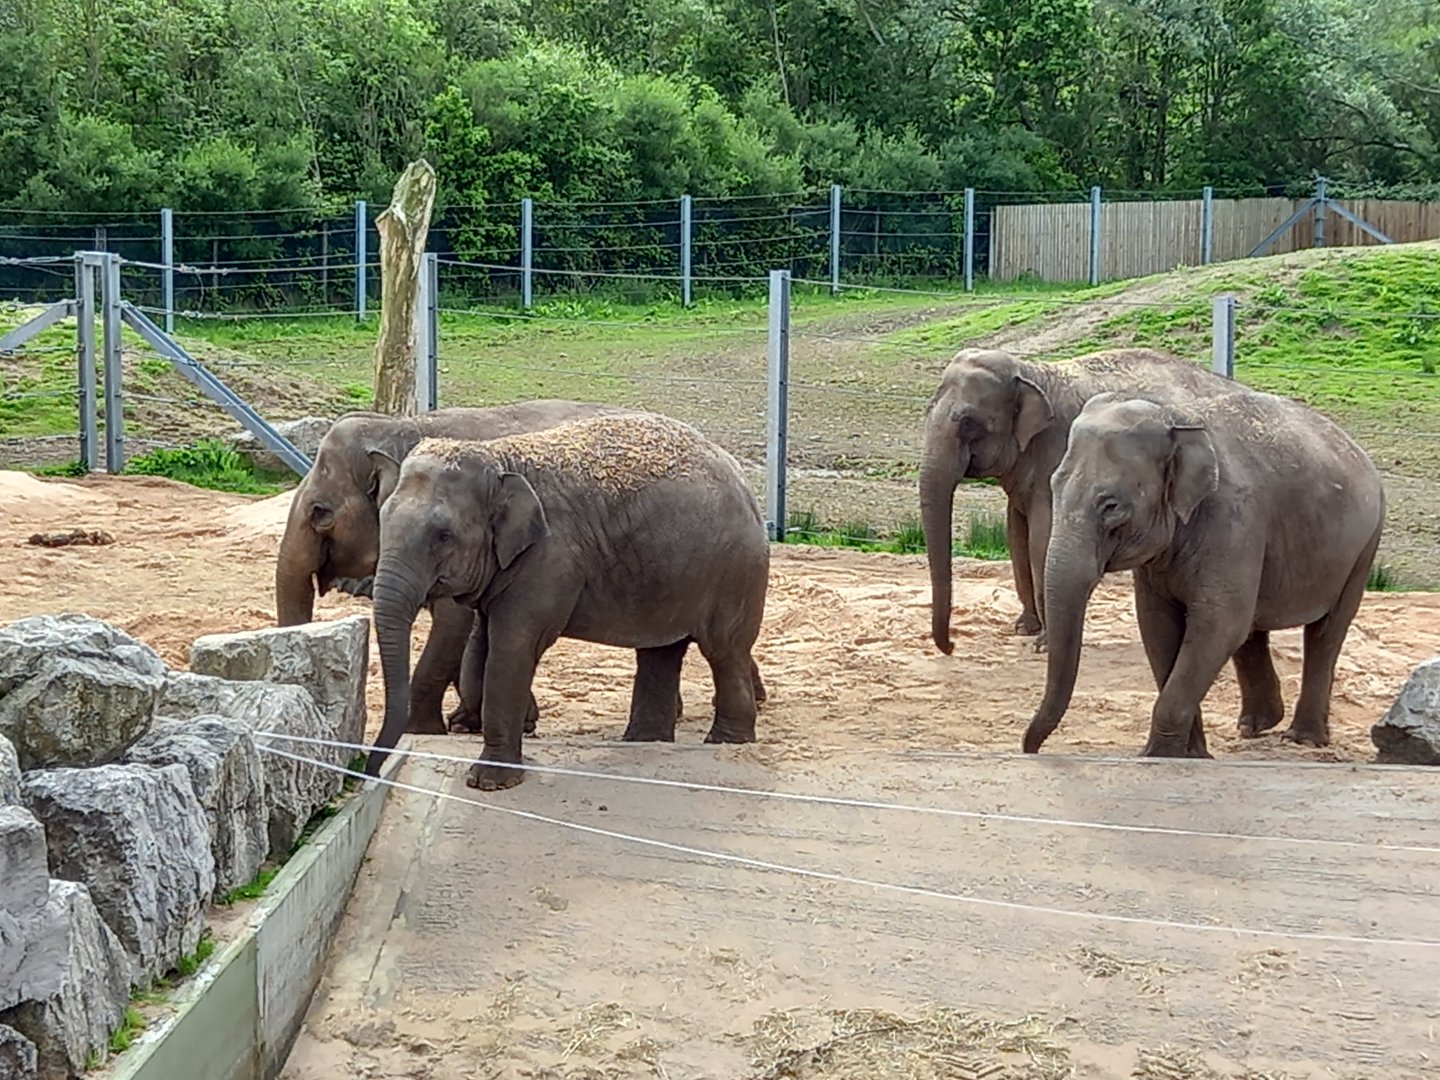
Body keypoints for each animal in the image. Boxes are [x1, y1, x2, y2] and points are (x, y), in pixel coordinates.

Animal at [364, 412, 771, 788]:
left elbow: (512, 648)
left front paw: (489, 782)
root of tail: (744, 483)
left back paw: (725, 742)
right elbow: (482, 647)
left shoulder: (550, 557)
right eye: (381, 519)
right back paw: (643, 741)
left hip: (736, 571)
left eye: (444, 536)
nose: (372, 771)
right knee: (660, 652)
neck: (500, 458)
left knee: (724, 650)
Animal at [920, 346, 1236, 655]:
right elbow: (1016, 535)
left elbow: (1041, 539)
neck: (1031, 370)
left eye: (968, 422)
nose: (951, 645)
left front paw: (1043, 644)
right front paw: (1024, 628)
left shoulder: (1056, 453)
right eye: (928, 410)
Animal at [1022, 387, 1385, 758]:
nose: (1031, 750)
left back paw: (1302, 739)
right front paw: (1191, 755)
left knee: (1325, 633)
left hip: (1364, 548)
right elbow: (1158, 626)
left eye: (1111, 506)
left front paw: (1158, 756)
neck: (1173, 418)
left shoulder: (1235, 521)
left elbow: (1217, 624)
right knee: (1252, 630)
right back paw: (1255, 725)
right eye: (1053, 487)